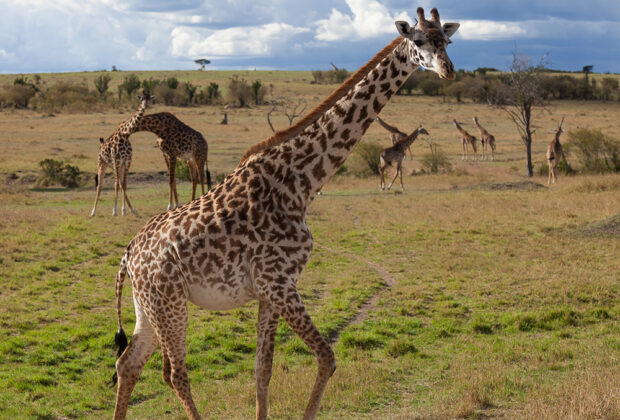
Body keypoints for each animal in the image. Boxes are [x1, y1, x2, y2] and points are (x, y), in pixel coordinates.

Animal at [110, 7, 460, 420]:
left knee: (128, 363)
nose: (448, 70)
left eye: (447, 41)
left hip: (148, 306)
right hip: (169, 302)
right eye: (419, 41)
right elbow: (326, 357)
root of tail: (128, 254)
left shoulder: (270, 289)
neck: (301, 183)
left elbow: (263, 368)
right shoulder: (278, 282)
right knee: (174, 373)